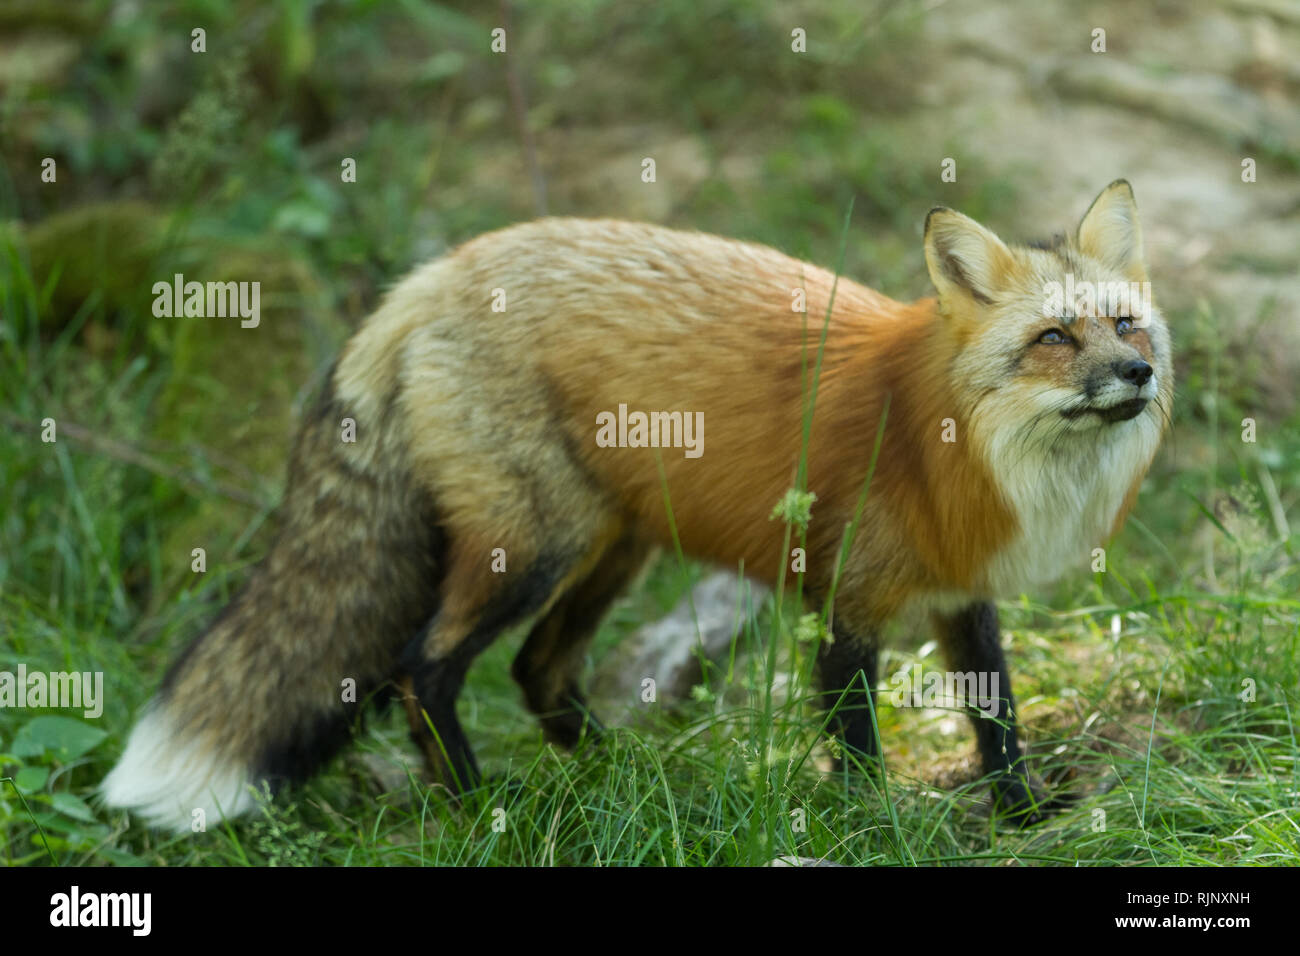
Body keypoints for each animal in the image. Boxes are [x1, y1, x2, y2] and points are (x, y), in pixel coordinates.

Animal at [102, 180, 1172, 833]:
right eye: (1052, 338)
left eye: (1124, 324)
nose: (1141, 374)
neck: (938, 440)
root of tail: (432, 276)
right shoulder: (846, 605)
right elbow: (860, 745)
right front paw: (873, 826)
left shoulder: (959, 595)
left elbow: (999, 723)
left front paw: (1026, 813)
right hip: (535, 545)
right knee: (425, 669)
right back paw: (480, 807)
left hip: (613, 548)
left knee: (537, 670)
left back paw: (627, 779)